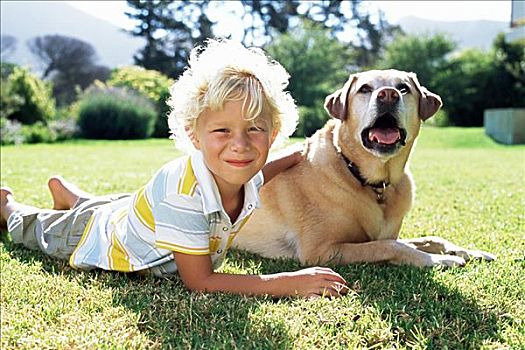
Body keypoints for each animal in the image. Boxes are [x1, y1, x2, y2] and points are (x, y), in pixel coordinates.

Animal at [234, 69, 496, 266]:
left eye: (404, 88)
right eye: (365, 89)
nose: (388, 95)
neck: (372, 181)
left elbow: (431, 238)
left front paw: (470, 252)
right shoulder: (320, 251)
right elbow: (390, 246)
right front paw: (439, 260)